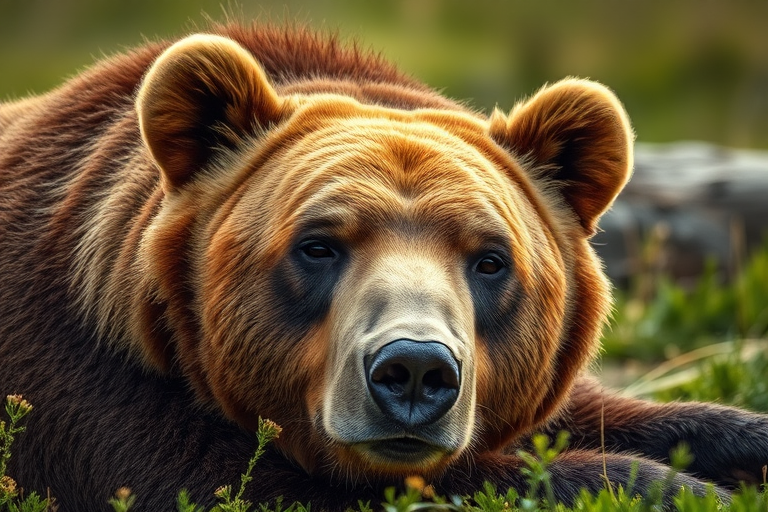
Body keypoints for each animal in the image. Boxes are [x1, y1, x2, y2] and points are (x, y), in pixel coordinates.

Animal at [1, 22, 767, 511]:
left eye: (490, 260)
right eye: (318, 245)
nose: (416, 370)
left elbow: (606, 413)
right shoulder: (92, 397)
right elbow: (237, 482)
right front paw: (674, 488)